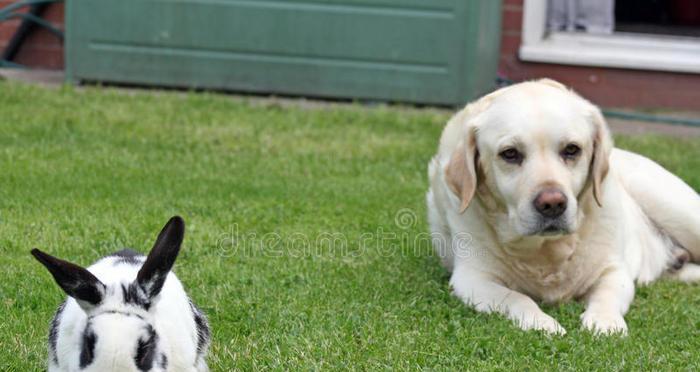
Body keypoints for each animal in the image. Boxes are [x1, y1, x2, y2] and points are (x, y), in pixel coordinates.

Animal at [426, 78, 700, 334]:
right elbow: (516, 297)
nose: (552, 203)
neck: (548, 251)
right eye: (510, 153)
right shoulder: (471, 278)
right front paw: (541, 322)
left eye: (571, 149)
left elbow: (607, 295)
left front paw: (605, 322)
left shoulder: (614, 270)